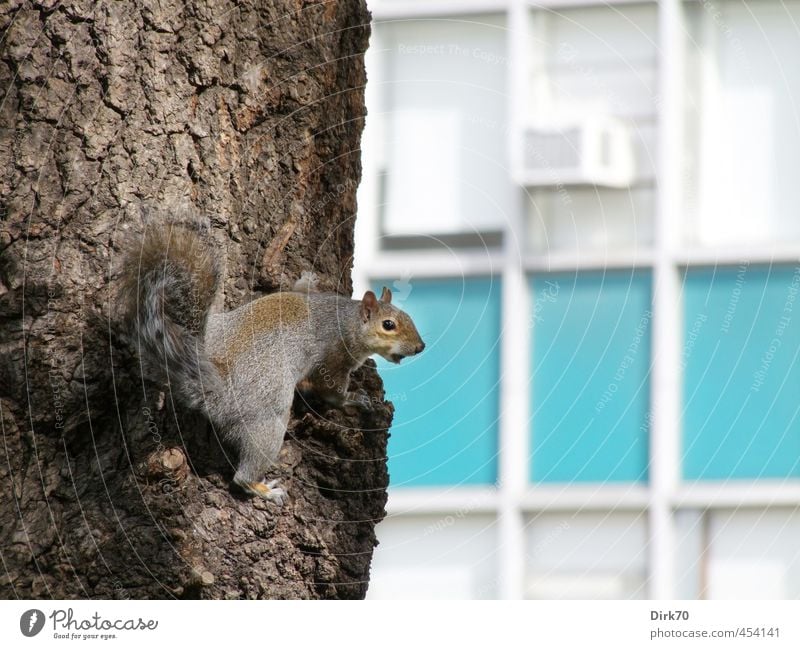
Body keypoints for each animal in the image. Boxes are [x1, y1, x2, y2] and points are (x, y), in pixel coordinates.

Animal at [120, 223, 424, 506]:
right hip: (267, 417)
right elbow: (331, 391)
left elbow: (300, 289)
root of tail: (214, 389)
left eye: (409, 317)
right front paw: (353, 398)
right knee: (244, 472)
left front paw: (309, 278)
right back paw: (263, 489)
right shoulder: (334, 358)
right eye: (388, 325)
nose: (420, 347)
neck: (346, 319)